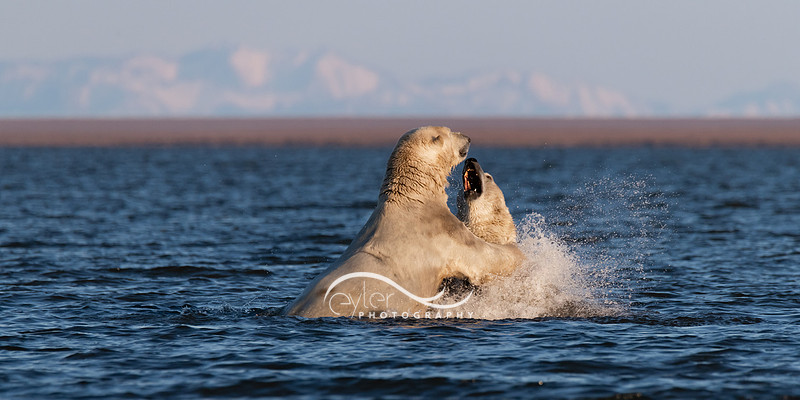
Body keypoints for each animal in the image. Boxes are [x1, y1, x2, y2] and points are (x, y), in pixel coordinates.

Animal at [284, 126, 524, 318]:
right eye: (448, 132)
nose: (468, 138)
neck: (413, 197)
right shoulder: (439, 231)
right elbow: (482, 257)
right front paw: (519, 252)